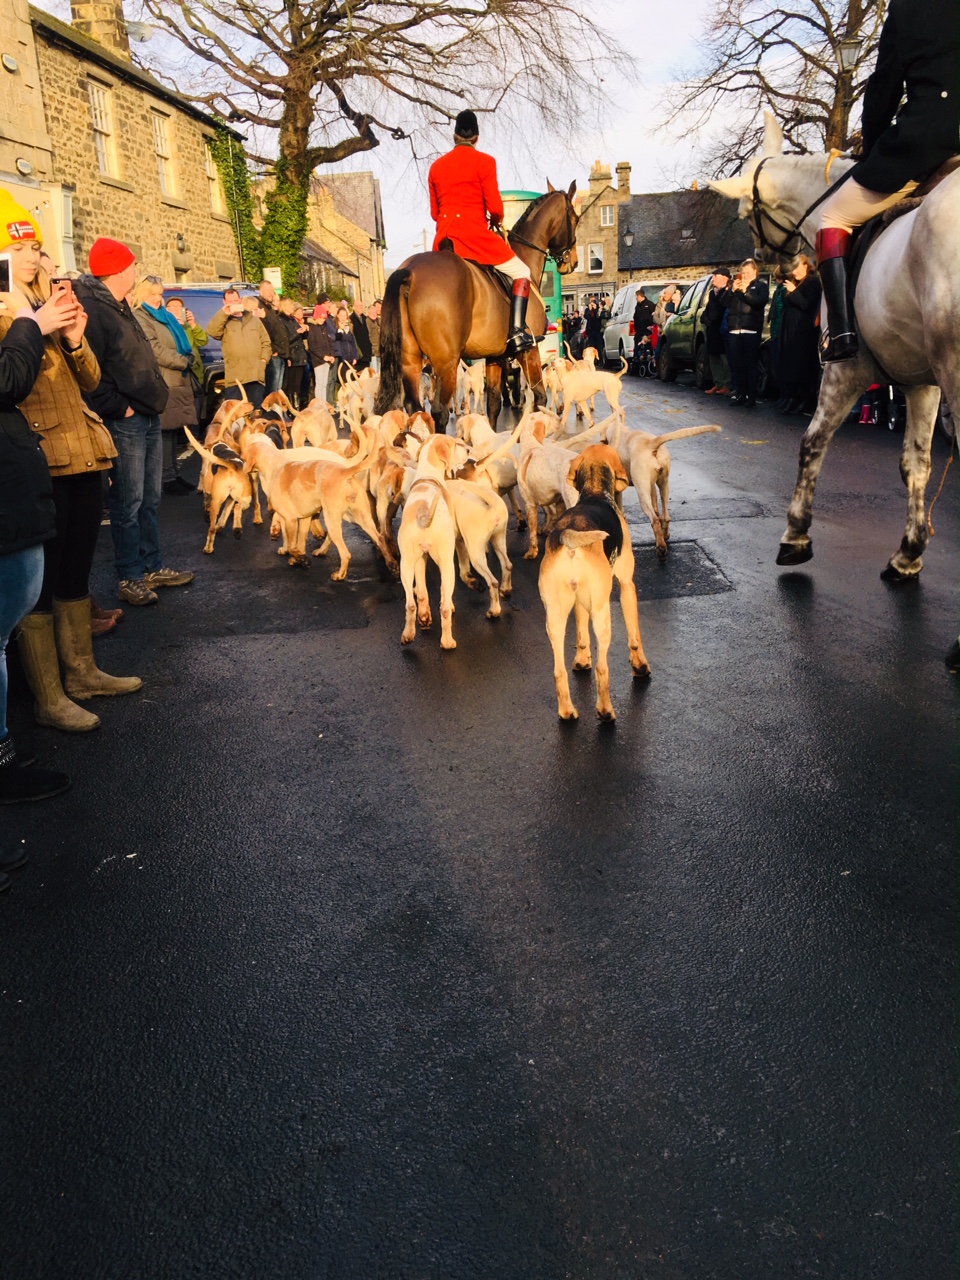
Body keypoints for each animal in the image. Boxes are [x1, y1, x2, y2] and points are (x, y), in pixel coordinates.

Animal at [371, 180, 576, 432]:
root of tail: (409, 271)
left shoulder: (495, 356)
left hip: (410, 360)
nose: (572, 262)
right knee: (439, 411)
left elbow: (494, 403)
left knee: (414, 408)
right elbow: (539, 398)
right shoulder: (529, 350)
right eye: (574, 217)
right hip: (446, 363)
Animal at [711, 115, 957, 586]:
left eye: (745, 214)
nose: (770, 261)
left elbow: (812, 443)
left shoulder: (846, 369)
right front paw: (908, 553)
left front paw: (795, 536)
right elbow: (915, 464)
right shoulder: (921, 381)